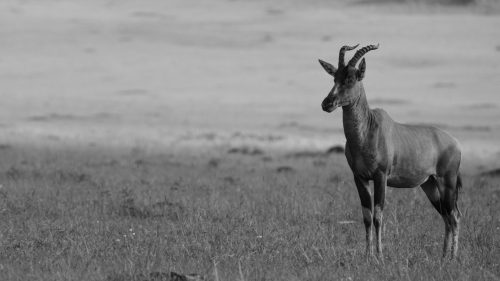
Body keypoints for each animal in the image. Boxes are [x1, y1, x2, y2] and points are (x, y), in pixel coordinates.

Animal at [318, 43, 462, 258]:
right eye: (334, 77)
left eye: (351, 78)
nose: (327, 103)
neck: (368, 129)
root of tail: (455, 143)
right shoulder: (359, 177)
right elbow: (367, 216)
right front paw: (368, 255)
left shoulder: (381, 176)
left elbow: (378, 215)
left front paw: (380, 256)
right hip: (429, 184)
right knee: (446, 215)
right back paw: (444, 257)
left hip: (448, 182)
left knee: (454, 216)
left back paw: (453, 257)